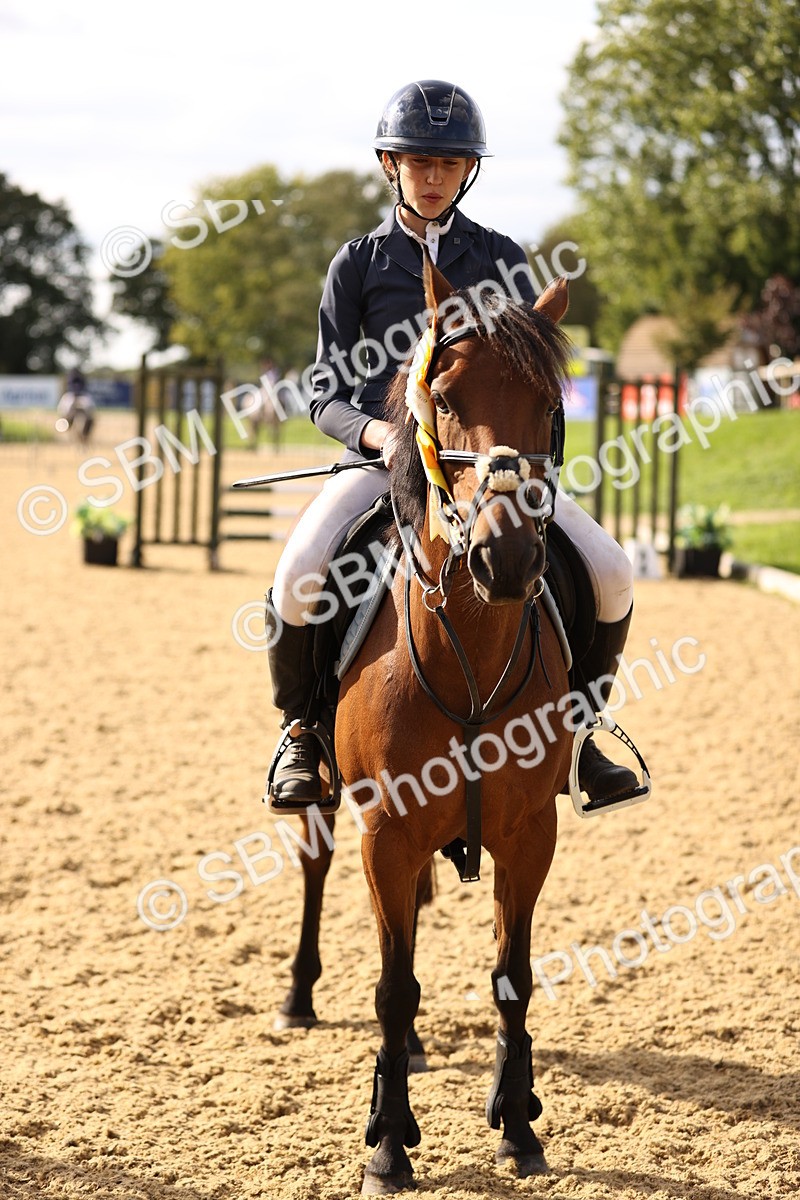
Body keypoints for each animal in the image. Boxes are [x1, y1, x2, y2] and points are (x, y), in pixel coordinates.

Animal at [276, 257, 574, 1193]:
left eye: (549, 401)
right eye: (440, 395)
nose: (507, 558)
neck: (467, 649)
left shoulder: (530, 830)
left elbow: (512, 976)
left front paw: (517, 1124)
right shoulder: (389, 833)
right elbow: (392, 984)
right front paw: (386, 1143)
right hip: (329, 801)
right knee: (316, 869)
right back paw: (298, 999)